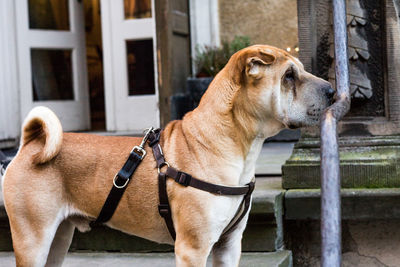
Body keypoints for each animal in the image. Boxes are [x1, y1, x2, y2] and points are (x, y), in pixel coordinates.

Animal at [1, 45, 332, 266]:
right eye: (289, 76)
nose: (331, 90)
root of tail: (32, 143)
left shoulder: (228, 245)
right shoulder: (192, 248)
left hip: (58, 237)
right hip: (33, 239)